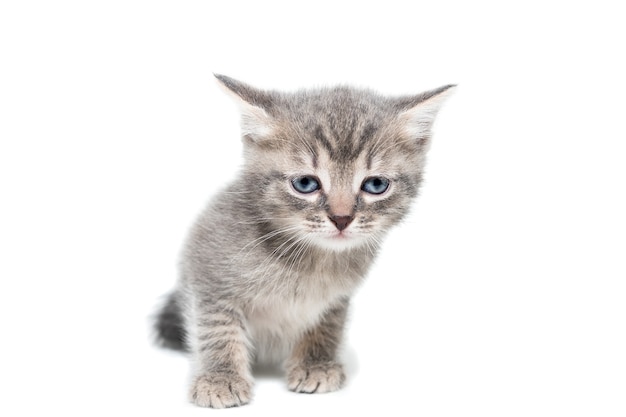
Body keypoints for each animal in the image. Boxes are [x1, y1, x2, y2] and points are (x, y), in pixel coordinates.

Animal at [153, 74, 450, 406]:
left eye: (375, 185)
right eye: (306, 183)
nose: (342, 218)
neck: (310, 261)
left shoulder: (337, 298)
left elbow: (327, 325)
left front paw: (316, 364)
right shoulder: (208, 270)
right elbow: (216, 327)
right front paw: (220, 378)